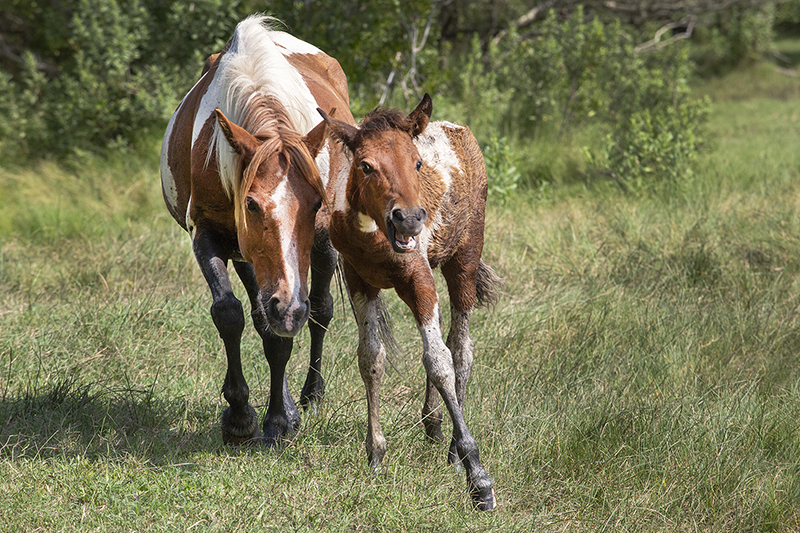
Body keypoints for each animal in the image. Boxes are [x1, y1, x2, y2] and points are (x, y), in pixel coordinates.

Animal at [159, 15, 354, 444]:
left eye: (316, 204)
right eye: (250, 204)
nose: (289, 305)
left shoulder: (309, 255)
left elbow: (297, 320)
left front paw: (278, 419)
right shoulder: (207, 235)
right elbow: (231, 314)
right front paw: (241, 415)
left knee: (319, 311)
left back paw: (311, 395)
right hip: (247, 258)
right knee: (261, 312)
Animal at [318, 93, 500, 510]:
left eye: (417, 162)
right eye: (366, 165)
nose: (411, 219)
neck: (375, 239)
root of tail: (456, 128)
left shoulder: (419, 280)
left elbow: (439, 361)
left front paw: (478, 476)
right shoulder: (360, 281)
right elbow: (371, 358)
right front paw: (376, 455)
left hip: (464, 261)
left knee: (460, 348)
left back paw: (453, 449)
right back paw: (434, 424)